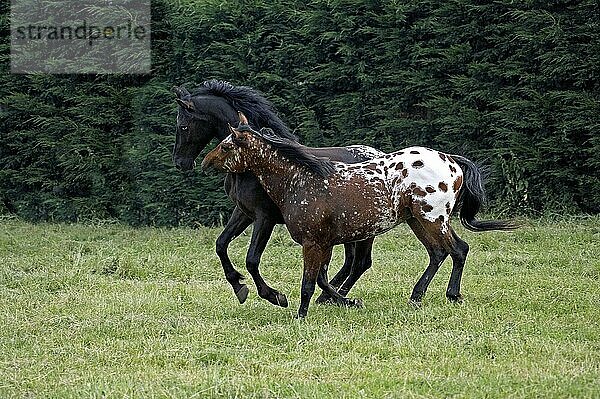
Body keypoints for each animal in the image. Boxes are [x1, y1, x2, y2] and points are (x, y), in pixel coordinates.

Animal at [171, 80, 384, 306]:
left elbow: (251, 259)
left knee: (360, 263)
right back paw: (328, 297)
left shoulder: (265, 217)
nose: (180, 162)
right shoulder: (244, 212)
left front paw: (274, 295)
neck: (254, 167)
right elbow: (221, 244)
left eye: (183, 126)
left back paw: (332, 297)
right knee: (351, 262)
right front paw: (238, 286)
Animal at [202, 115, 516, 318]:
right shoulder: (324, 243)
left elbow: (307, 282)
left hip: (432, 219)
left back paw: (445, 295)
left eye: (227, 146)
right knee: (442, 252)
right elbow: (322, 279)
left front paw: (297, 312)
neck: (300, 180)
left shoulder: (309, 240)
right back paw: (422, 296)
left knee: (455, 250)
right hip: (418, 221)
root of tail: (450, 160)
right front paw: (347, 301)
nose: (205, 162)